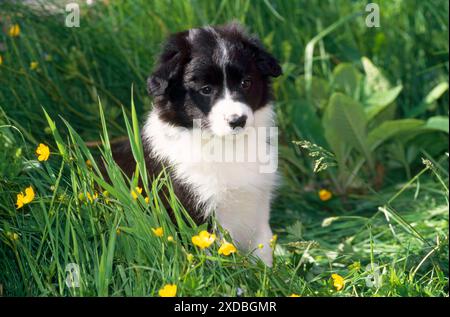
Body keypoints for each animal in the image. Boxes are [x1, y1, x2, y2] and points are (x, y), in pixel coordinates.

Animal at [111, 22, 282, 264]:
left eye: (246, 83)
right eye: (206, 90)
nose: (238, 121)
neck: (224, 146)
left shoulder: (257, 204)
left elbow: (263, 249)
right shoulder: (197, 210)